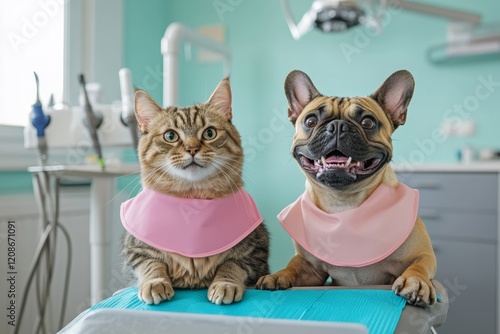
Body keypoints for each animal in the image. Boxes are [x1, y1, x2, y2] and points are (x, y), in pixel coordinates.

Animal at [120, 77, 270, 306]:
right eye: (170, 136)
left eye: (209, 133)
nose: (192, 149)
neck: (192, 199)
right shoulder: (134, 250)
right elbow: (151, 264)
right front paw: (155, 282)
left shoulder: (257, 251)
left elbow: (231, 265)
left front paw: (225, 284)